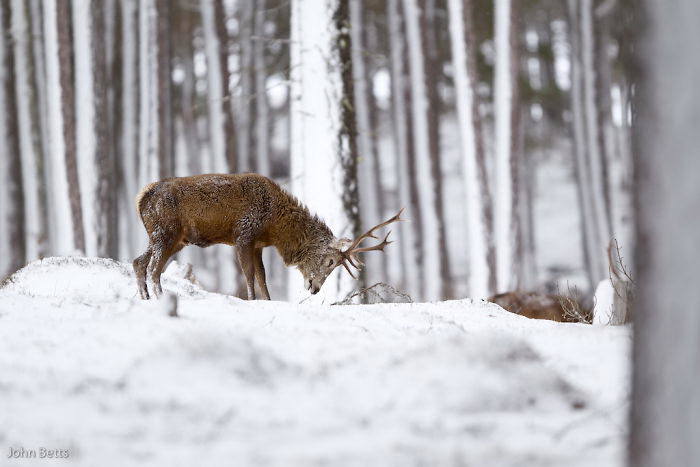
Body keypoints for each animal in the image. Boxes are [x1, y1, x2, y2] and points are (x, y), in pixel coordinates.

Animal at [133, 174, 402, 302]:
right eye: (330, 262)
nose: (315, 289)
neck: (273, 225)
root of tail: (141, 197)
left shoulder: (258, 245)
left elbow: (263, 278)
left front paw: (268, 300)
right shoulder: (243, 234)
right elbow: (250, 276)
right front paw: (252, 300)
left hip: (170, 238)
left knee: (139, 262)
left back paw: (146, 297)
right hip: (165, 232)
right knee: (154, 268)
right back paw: (160, 297)